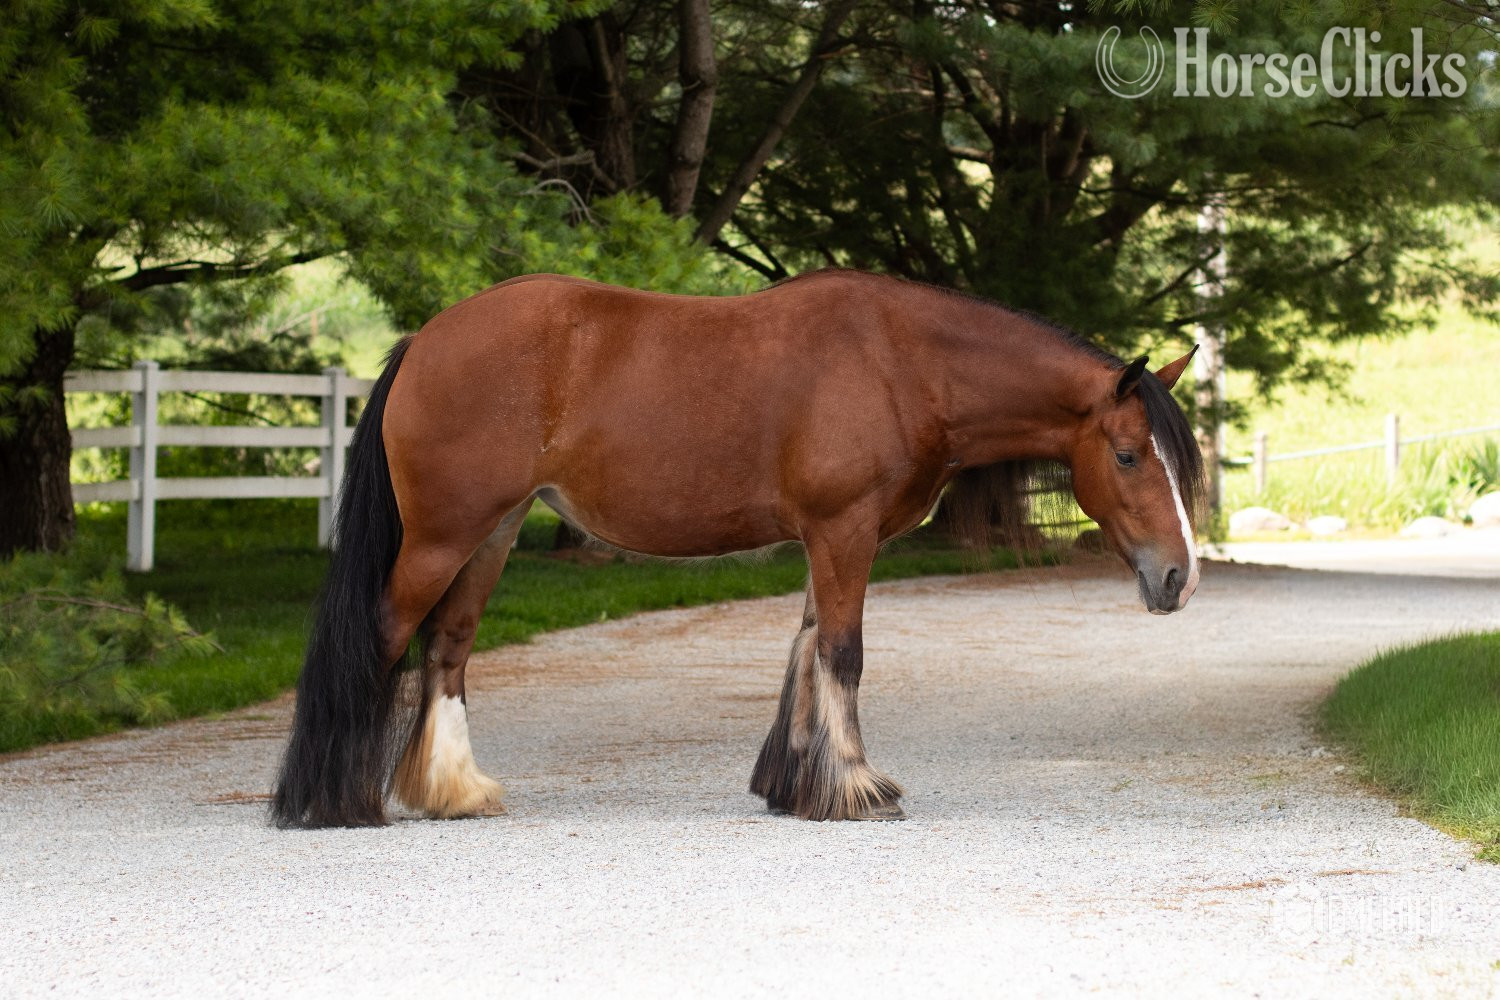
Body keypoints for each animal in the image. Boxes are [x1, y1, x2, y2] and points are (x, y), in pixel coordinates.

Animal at [271, 269, 1203, 829]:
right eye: (1129, 454)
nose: (1179, 578)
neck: (901, 363)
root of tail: (423, 342)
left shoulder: (829, 535)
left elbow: (806, 652)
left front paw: (796, 787)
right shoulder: (843, 529)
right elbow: (842, 653)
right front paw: (858, 788)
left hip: (490, 534)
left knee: (449, 648)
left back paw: (454, 791)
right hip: (443, 537)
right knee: (383, 636)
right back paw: (335, 801)